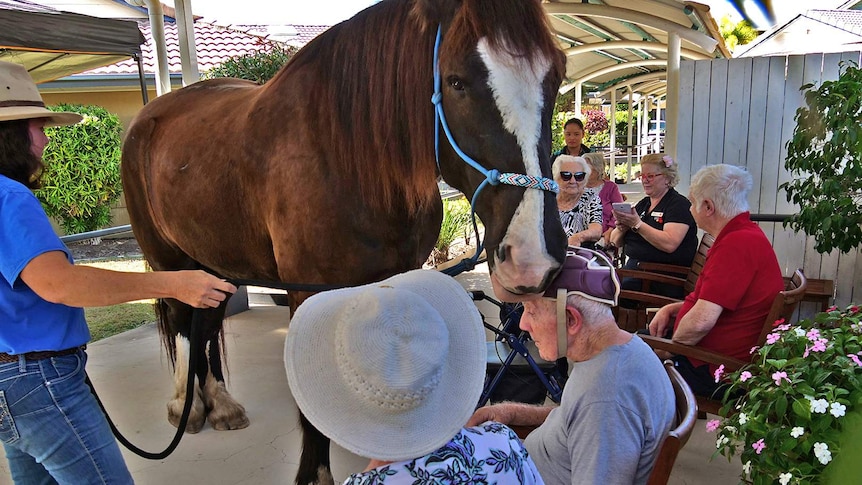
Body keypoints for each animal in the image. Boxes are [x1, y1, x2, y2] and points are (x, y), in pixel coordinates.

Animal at [120, 0, 568, 482]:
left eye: (556, 75)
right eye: (456, 81)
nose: (533, 260)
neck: (344, 161)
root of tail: (149, 116)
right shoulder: (305, 293)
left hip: (217, 262)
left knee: (208, 321)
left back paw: (219, 403)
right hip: (171, 261)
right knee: (183, 323)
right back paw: (183, 404)